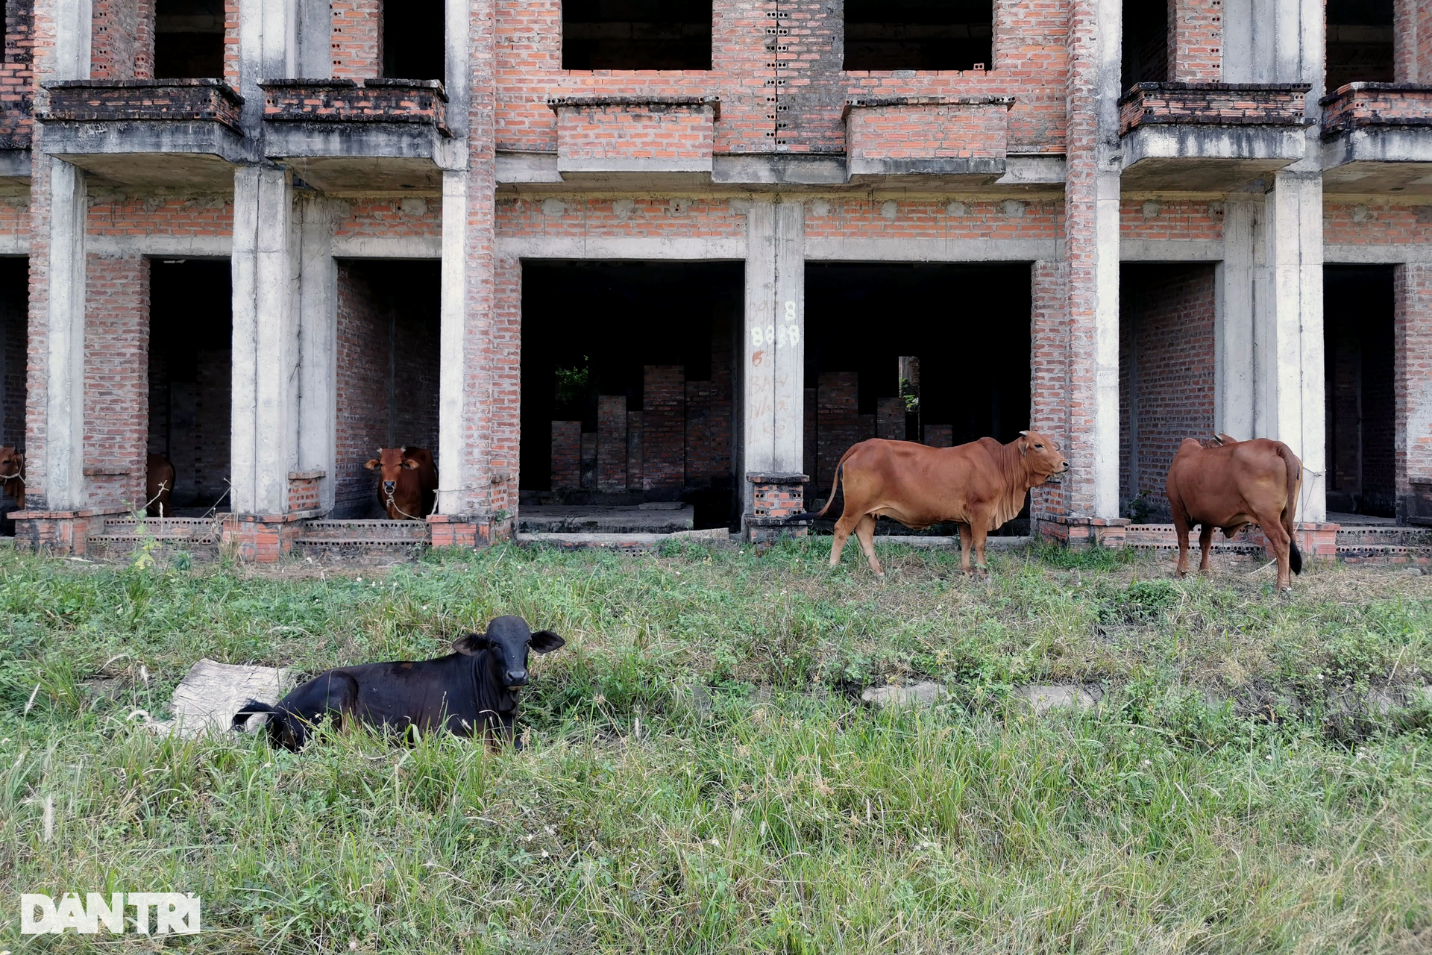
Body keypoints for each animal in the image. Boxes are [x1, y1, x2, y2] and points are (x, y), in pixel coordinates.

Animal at [234, 615, 564, 750]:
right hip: (336, 696)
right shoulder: (440, 733)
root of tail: (278, 707)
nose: (517, 676)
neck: (497, 707)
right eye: (494, 643)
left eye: (527, 642)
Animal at [813, 432, 1071, 575]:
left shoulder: (965, 517)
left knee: (864, 535)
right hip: (855, 506)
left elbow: (966, 543)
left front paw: (967, 571)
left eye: (1053, 444)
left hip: (869, 511)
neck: (1000, 464)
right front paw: (983, 572)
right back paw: (833, 566)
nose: (1065, 463)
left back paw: (878, 572)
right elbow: (980, 543)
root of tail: (861, 445)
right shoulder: (980, 510)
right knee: (841, 529)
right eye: (1038, 445)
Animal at [1168, 435, 1305, 589]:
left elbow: (1183, 541)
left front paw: (1181, 571)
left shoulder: (1176, 507)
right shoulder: (1208, 516)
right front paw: (1204, 570)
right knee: (1290, 541)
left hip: (1267, 517)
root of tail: (1275, 445)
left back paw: (1282, 585)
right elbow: (1205, 542)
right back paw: (1288, 581)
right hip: (1286, 515)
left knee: (1282, 541)